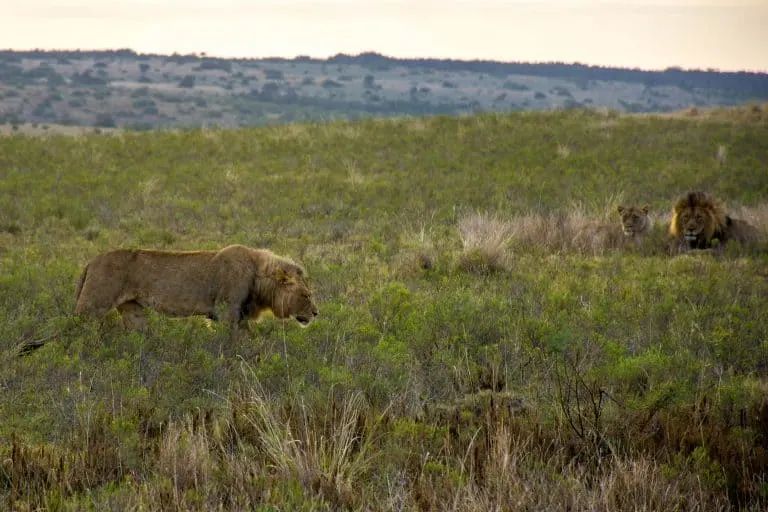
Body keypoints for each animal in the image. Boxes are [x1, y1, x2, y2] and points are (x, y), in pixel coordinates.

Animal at [74, 243, 318, 338]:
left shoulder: (239, 316)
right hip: (92, 306)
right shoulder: (227, 313)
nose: (316, 313)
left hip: (133, 311)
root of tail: (91, 261)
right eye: (305, 295)